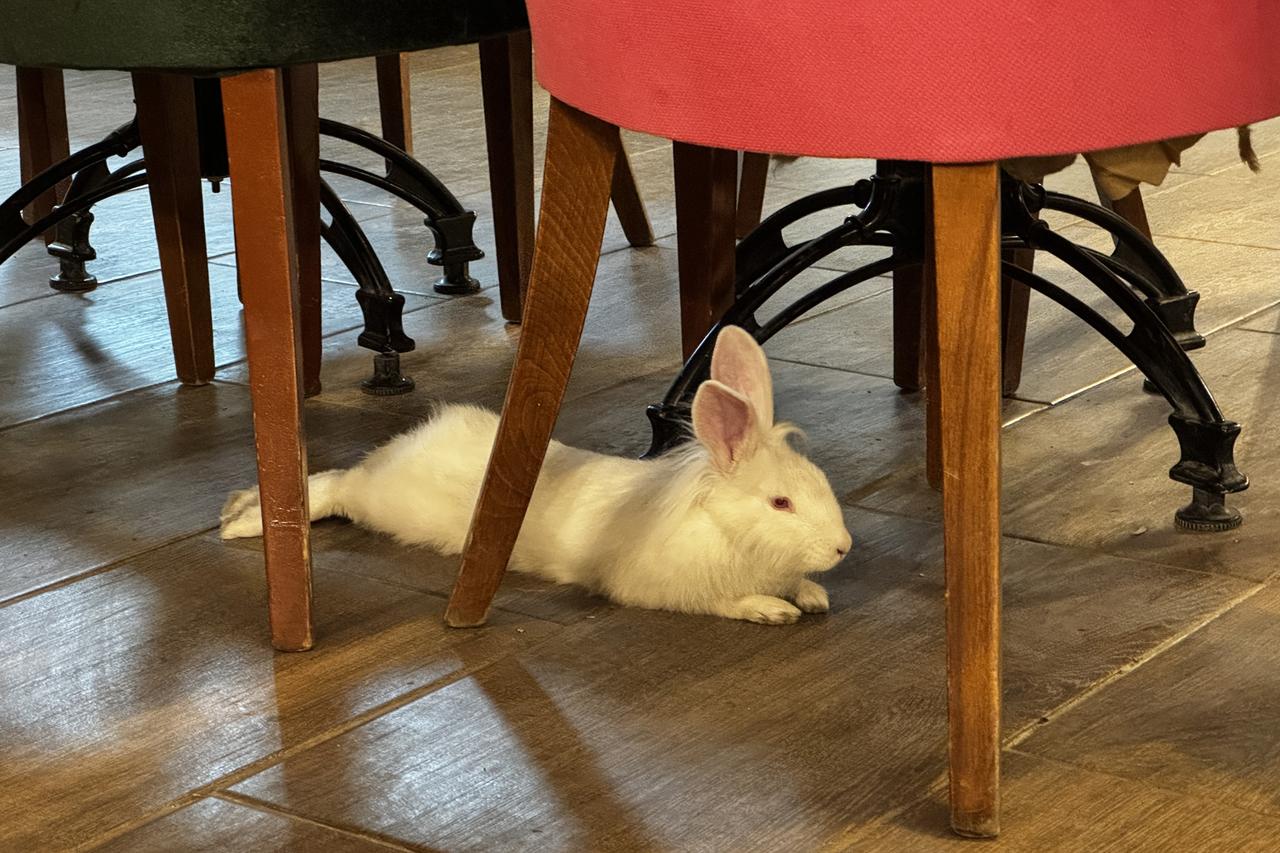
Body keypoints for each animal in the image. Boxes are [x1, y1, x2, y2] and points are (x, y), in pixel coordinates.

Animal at [220, 326, 853, 624]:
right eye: (780, 504)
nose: (843, 548)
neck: (729, 532)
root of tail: (409, 445)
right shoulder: (662, 586)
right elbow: (723, 600)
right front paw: (771, 609)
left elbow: (796, 583)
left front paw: (812, 594)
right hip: (379, 501)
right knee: (333, 487)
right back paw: (238, 523)